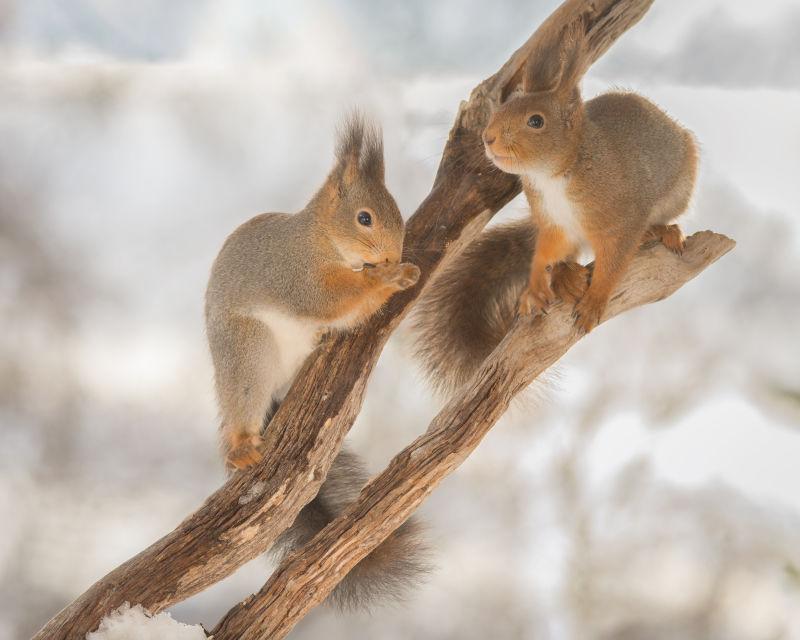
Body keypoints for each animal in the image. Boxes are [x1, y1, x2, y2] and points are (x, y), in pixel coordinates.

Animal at [206, 115, 428, 608]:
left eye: (398, 211)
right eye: (364, 218)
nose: (391, 255)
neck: (321, 239)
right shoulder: (298, 276)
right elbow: (332, 297)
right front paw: (392, 275)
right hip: (248, 353)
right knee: (240, 406)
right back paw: (241, 446)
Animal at [416, 23, 696, 396]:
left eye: (536, 121)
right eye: (501, 110)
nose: (488, 138)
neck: (554, 174)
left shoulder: (620, 219)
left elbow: (613, 263)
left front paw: (594, 301)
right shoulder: (553, 222)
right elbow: (543, 253)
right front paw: (534, 288)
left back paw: (663, 231)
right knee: (567, 256)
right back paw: (565, 277)